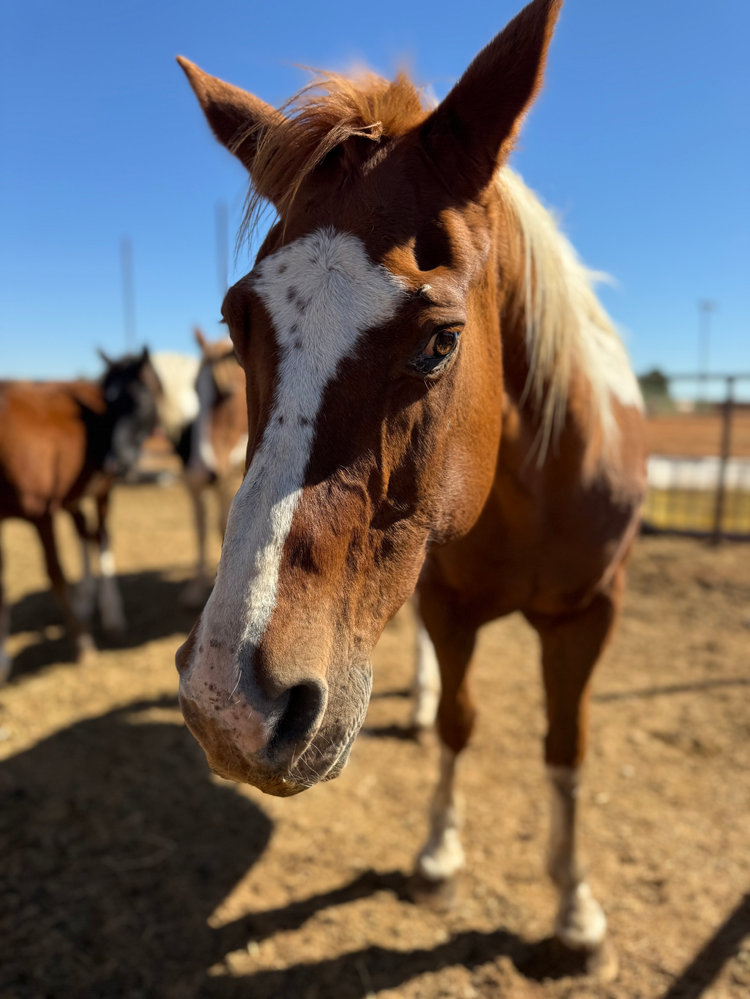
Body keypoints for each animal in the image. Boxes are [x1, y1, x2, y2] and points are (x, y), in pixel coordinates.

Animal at [0, 349, 161, 680]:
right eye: (107, 403)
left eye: (138, 400)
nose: (115, 460)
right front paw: (2, 660)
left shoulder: (42, 514)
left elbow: (56, 574)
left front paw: (83, 643)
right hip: (74, 496)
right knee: (84, 533)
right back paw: (87, 601)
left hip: (100, 490)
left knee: (100, 535)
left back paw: (110, 613)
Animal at [151, 330, 248, 606]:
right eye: (194, 390)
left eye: (228, 393)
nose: (200, 469)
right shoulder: (196, 483)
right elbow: (202, 527)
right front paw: (197, 588)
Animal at [175, 0, 646, 961]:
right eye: (237, 321)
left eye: (440, 339)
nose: (228, 705)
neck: (532, 490)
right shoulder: (450, 603)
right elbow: (461, 724)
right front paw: (438, 856)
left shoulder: (591, 614)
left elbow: (567, 745)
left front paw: (575, 908)